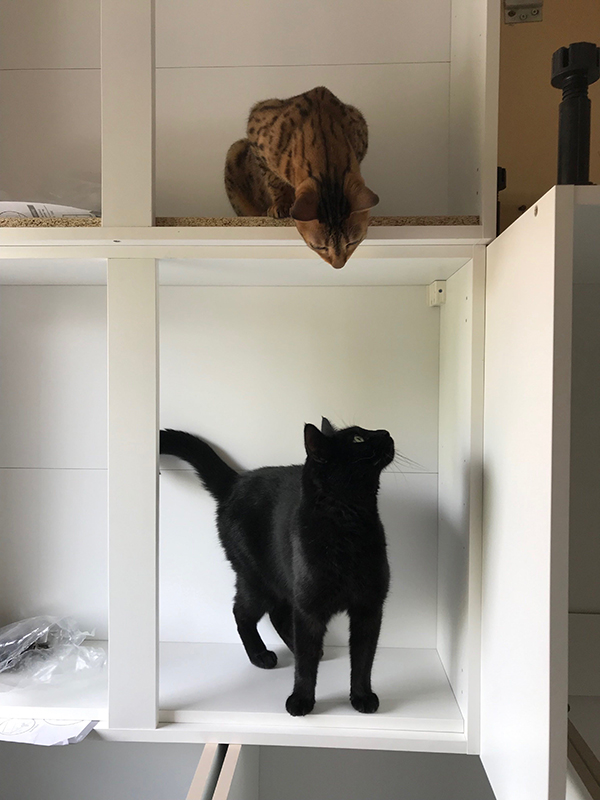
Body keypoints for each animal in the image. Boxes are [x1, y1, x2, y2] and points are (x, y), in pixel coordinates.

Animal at [159, 418, 394, 720]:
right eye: (357, 439)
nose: (385, 432)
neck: (349, 524)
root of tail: (237, 481)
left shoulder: (368, 607)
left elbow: (364, 659)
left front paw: (362, 696)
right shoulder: (309, 609)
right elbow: (305, 667)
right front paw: (302, 700)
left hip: (280, 580)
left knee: (278, 616)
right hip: (257, 579)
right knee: (243, 612)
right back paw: (260, 655)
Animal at [225, 86, 380, 270]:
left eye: (352, 242)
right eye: (319, 247)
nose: (338, 265)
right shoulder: (256, 132)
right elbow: (274, 181)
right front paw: (281, 204)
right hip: (236, 151)